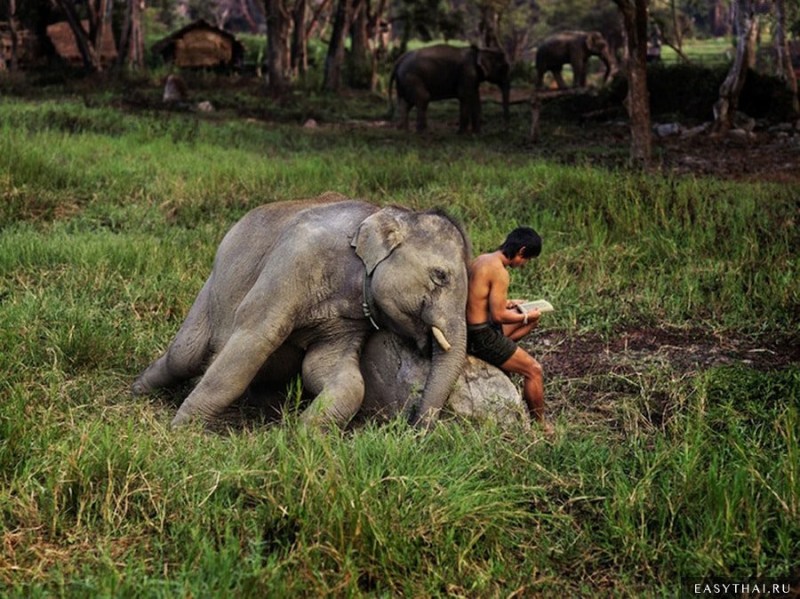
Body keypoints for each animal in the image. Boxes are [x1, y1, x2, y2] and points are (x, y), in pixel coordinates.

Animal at [130, 193, 468, 432]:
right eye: (440, 276)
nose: (413, 428)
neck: (377, 212)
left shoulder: (349, 319)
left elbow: (331, 370)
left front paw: (304, 435)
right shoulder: (296, 258)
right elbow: (254, 339)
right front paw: (181, 430)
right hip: (213, 285)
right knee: (185, 354)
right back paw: (138, 389)